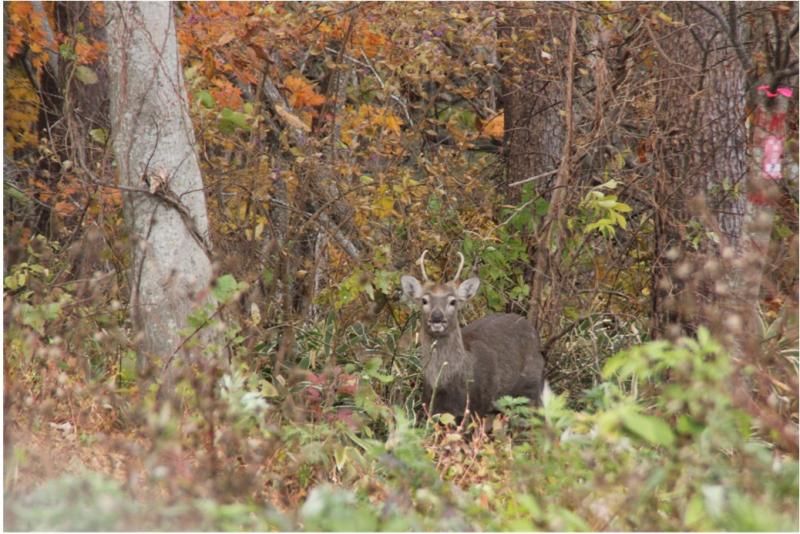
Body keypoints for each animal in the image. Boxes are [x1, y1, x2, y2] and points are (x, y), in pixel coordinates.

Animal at [404, 251, 548, 418]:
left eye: (453, 301)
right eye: (424, 300)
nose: (437, 317)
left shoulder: (475, 407)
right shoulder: (431, 409)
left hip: (531, 389)